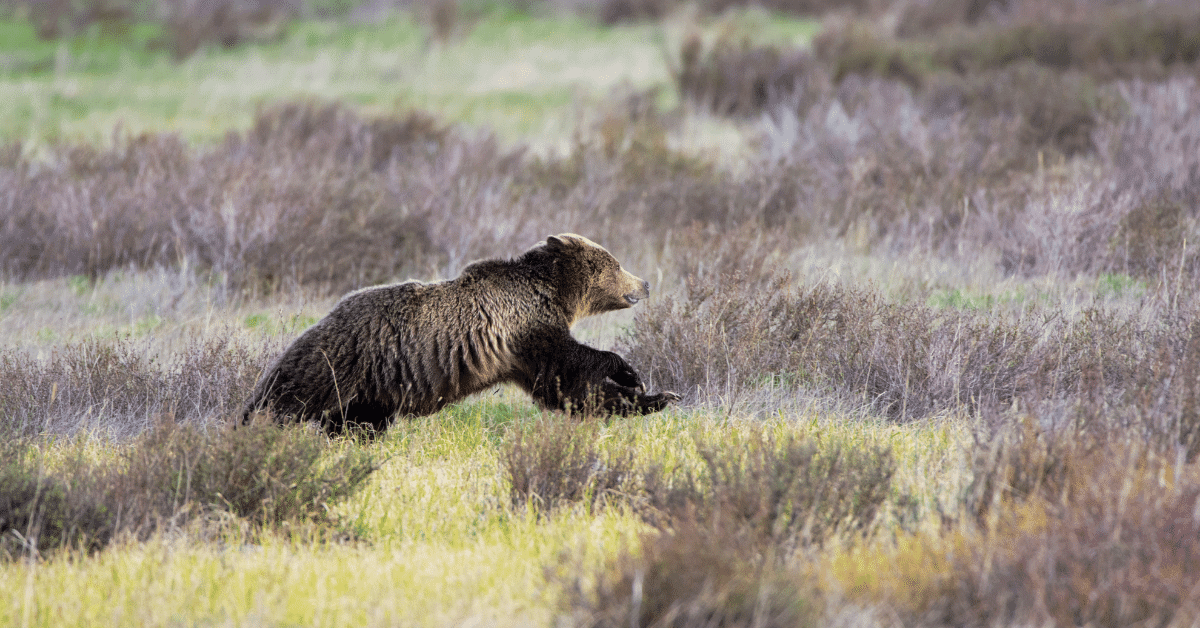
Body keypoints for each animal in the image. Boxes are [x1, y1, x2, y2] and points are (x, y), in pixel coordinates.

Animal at [244, 232, 681, 434]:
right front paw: (635, 378)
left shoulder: (519, 355)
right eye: (617, 262)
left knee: (357, 424)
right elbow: (571, 369)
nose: (645, 283)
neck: (552, 292)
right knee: (283, 400)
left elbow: (567, 391)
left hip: (369, 393)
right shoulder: (525, 330)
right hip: (338, 362)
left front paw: (657, 396)